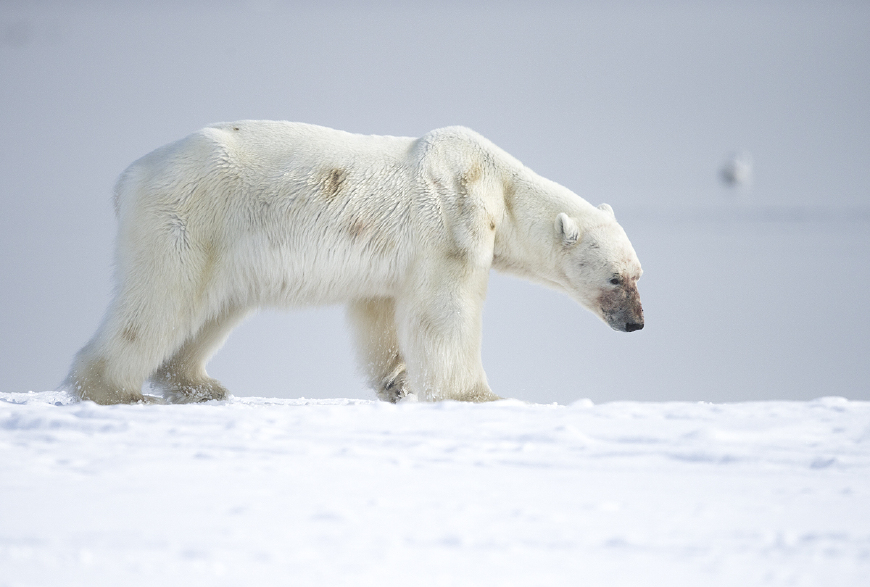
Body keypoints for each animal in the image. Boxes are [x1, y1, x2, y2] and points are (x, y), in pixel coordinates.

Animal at [64, 119, 644, 404]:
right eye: (615, 277)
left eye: (640, 275)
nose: (637, 323)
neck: (496, 183)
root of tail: (130, 176)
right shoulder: (453, 223)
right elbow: (446, 311)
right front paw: (480, 395)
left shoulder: (394, 262)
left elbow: (380, 311)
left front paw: (397, 384)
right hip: (189, 217)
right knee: (161, 298)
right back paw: (116, 392)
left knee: (213, 307)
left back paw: (200, 385)